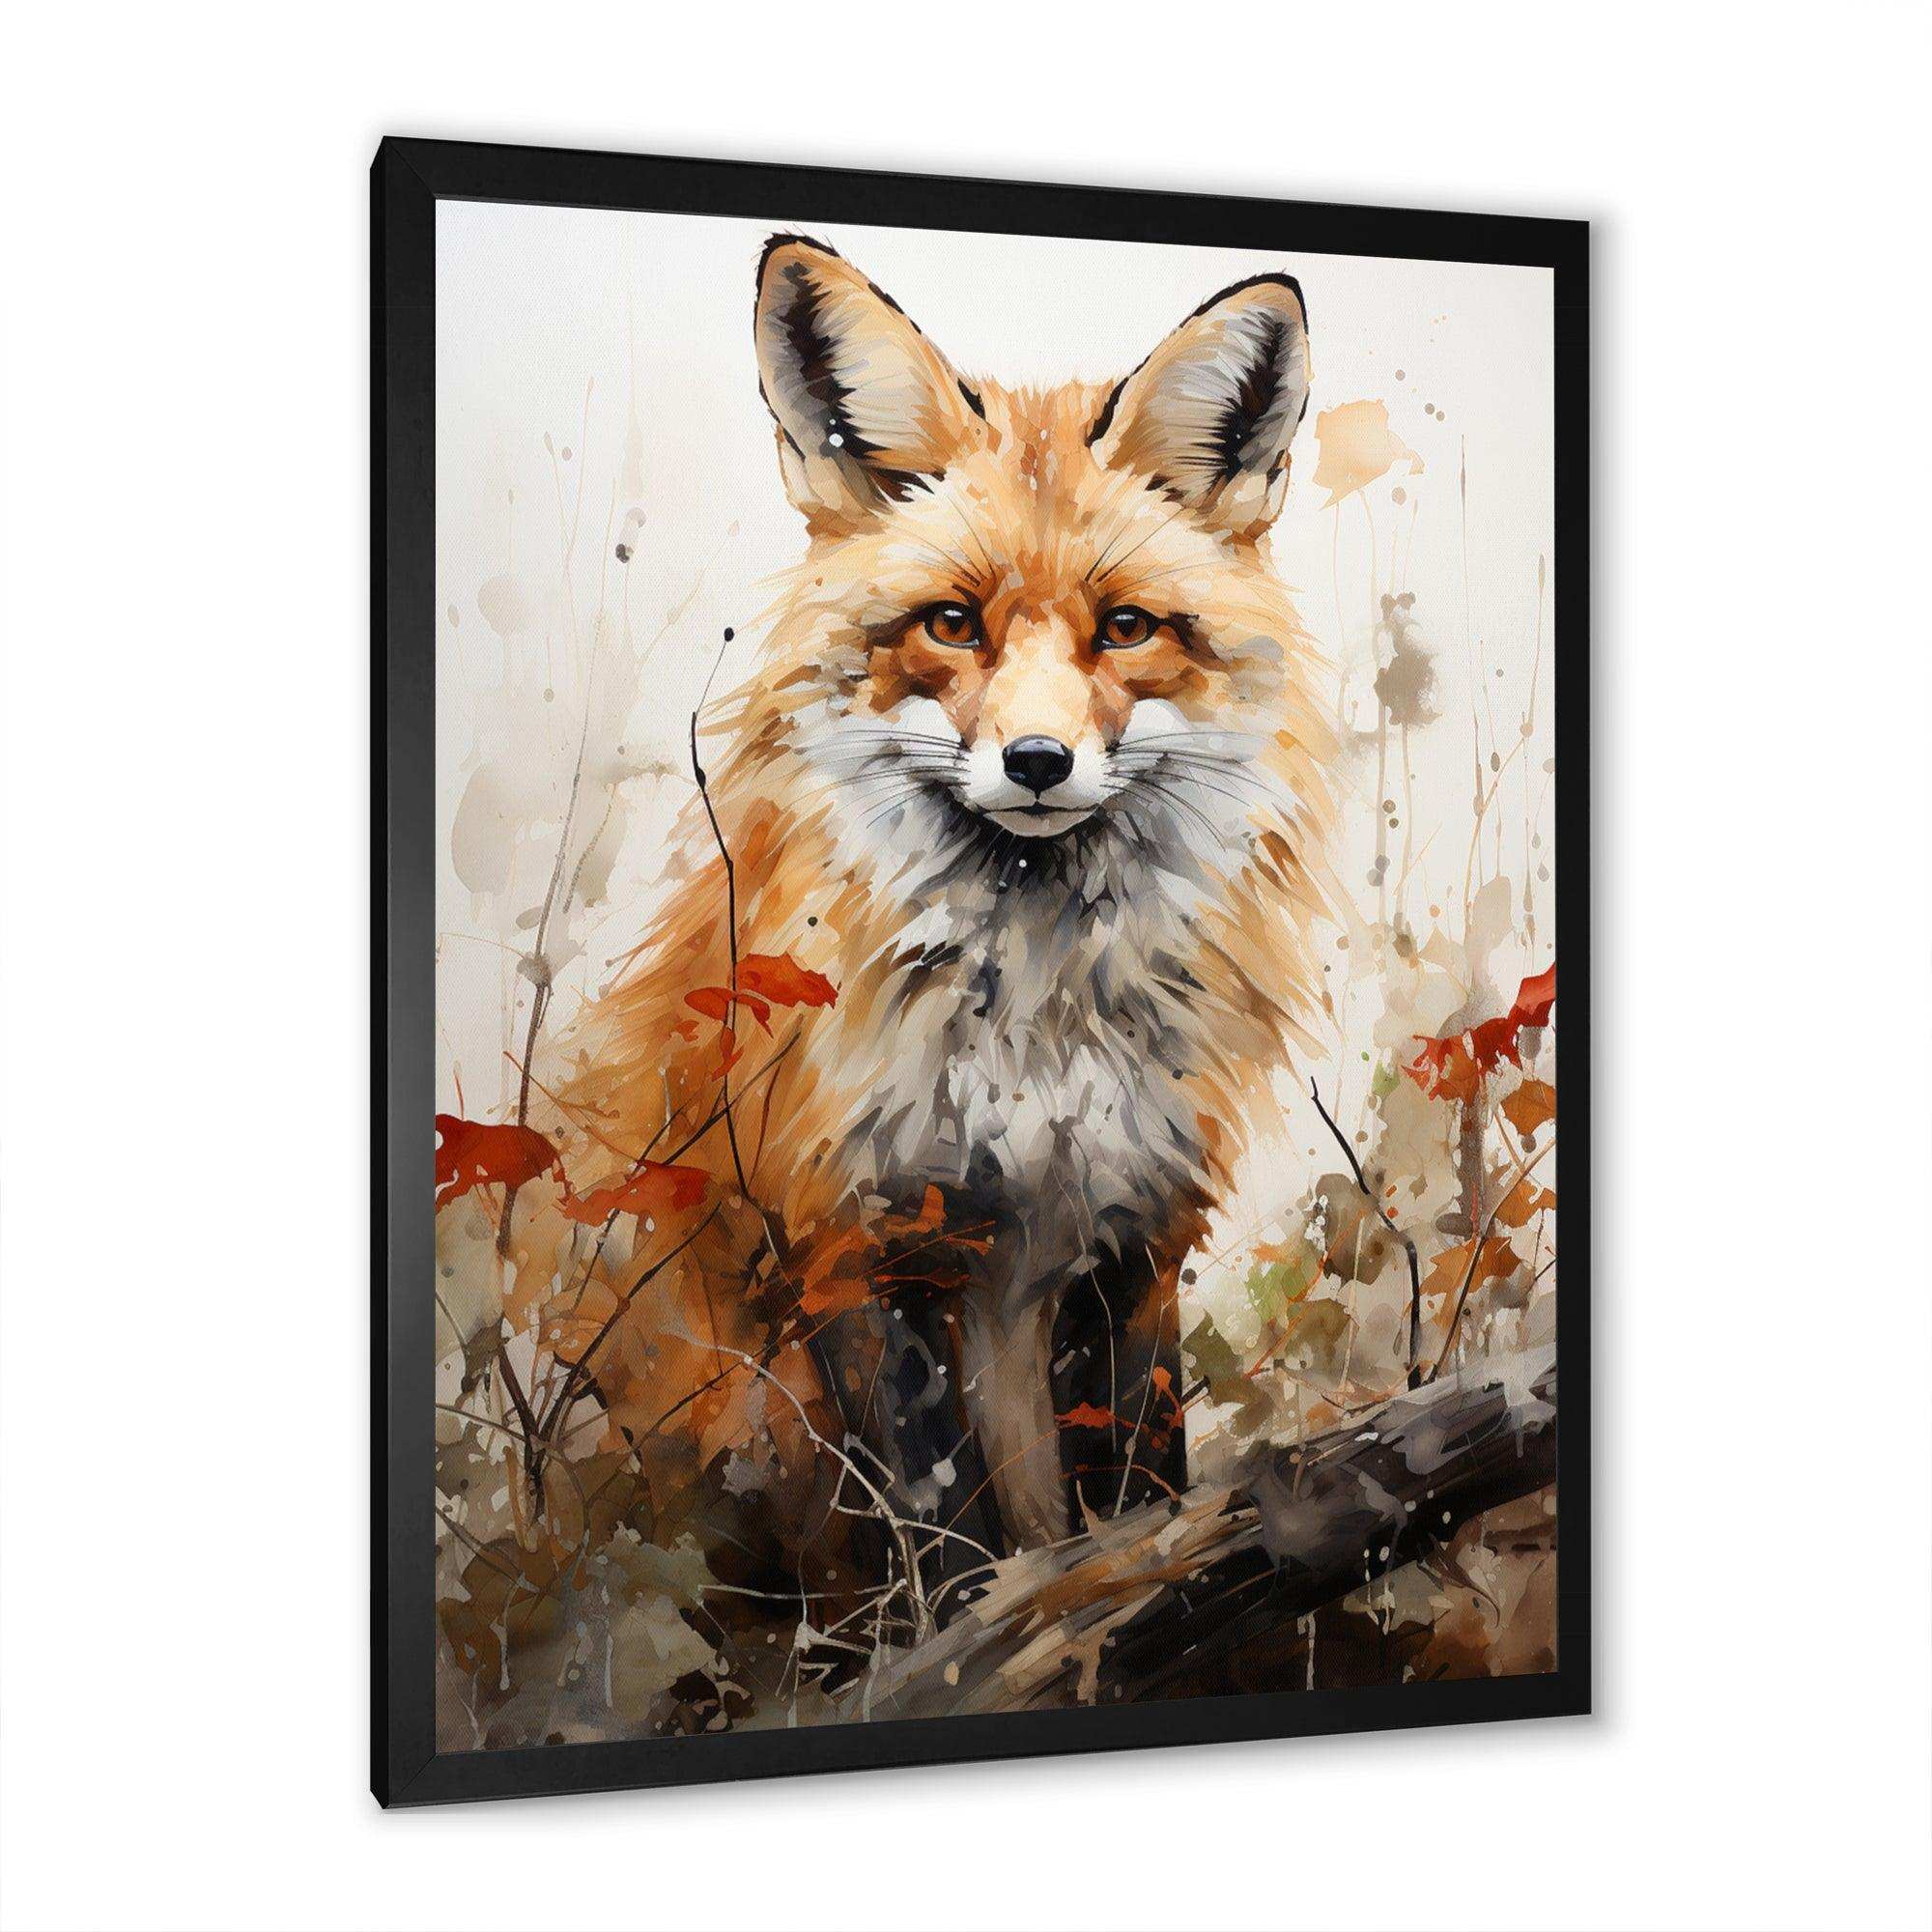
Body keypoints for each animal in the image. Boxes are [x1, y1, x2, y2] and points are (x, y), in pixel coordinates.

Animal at [509, 235, 1334, 1603]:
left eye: (1124, 627)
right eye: (952, 622)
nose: (1039, 761)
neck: (1033, 1027)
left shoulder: (1134, 1232)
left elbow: (1135, 1491)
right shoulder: (852, 1237)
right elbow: (938, 1524)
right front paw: (962, 1634)